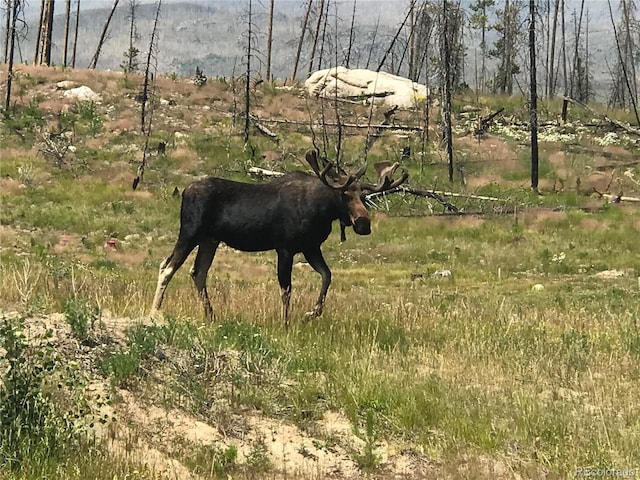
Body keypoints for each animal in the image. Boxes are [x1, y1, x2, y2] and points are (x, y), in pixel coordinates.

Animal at [151, 150, 404, 322]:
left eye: (363, 195)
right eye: (344, 194)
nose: (364, 223)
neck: (322, 211)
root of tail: (184, 191)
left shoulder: (311, 247)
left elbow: (327, 276)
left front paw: (311, 313)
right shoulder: (285, 248)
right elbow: (286, 289)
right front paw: (286, 323)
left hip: (210, 240)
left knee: (198, 272)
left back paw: (211, 315)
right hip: (190, 232)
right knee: (167, 266)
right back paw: (155, 311)